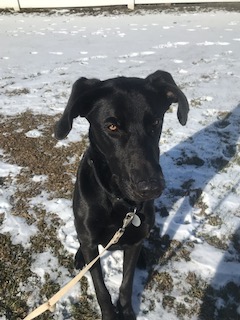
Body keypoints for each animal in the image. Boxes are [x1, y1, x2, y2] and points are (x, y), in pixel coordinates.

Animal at [54, 70, 189, 320]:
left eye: (156, 122)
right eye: (112, 127)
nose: (151, 188)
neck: (118, 200)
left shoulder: (134, 242)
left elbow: (126, 283)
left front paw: (126, 311)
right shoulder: (90, 242)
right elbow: (101, 288)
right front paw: (110, 314)